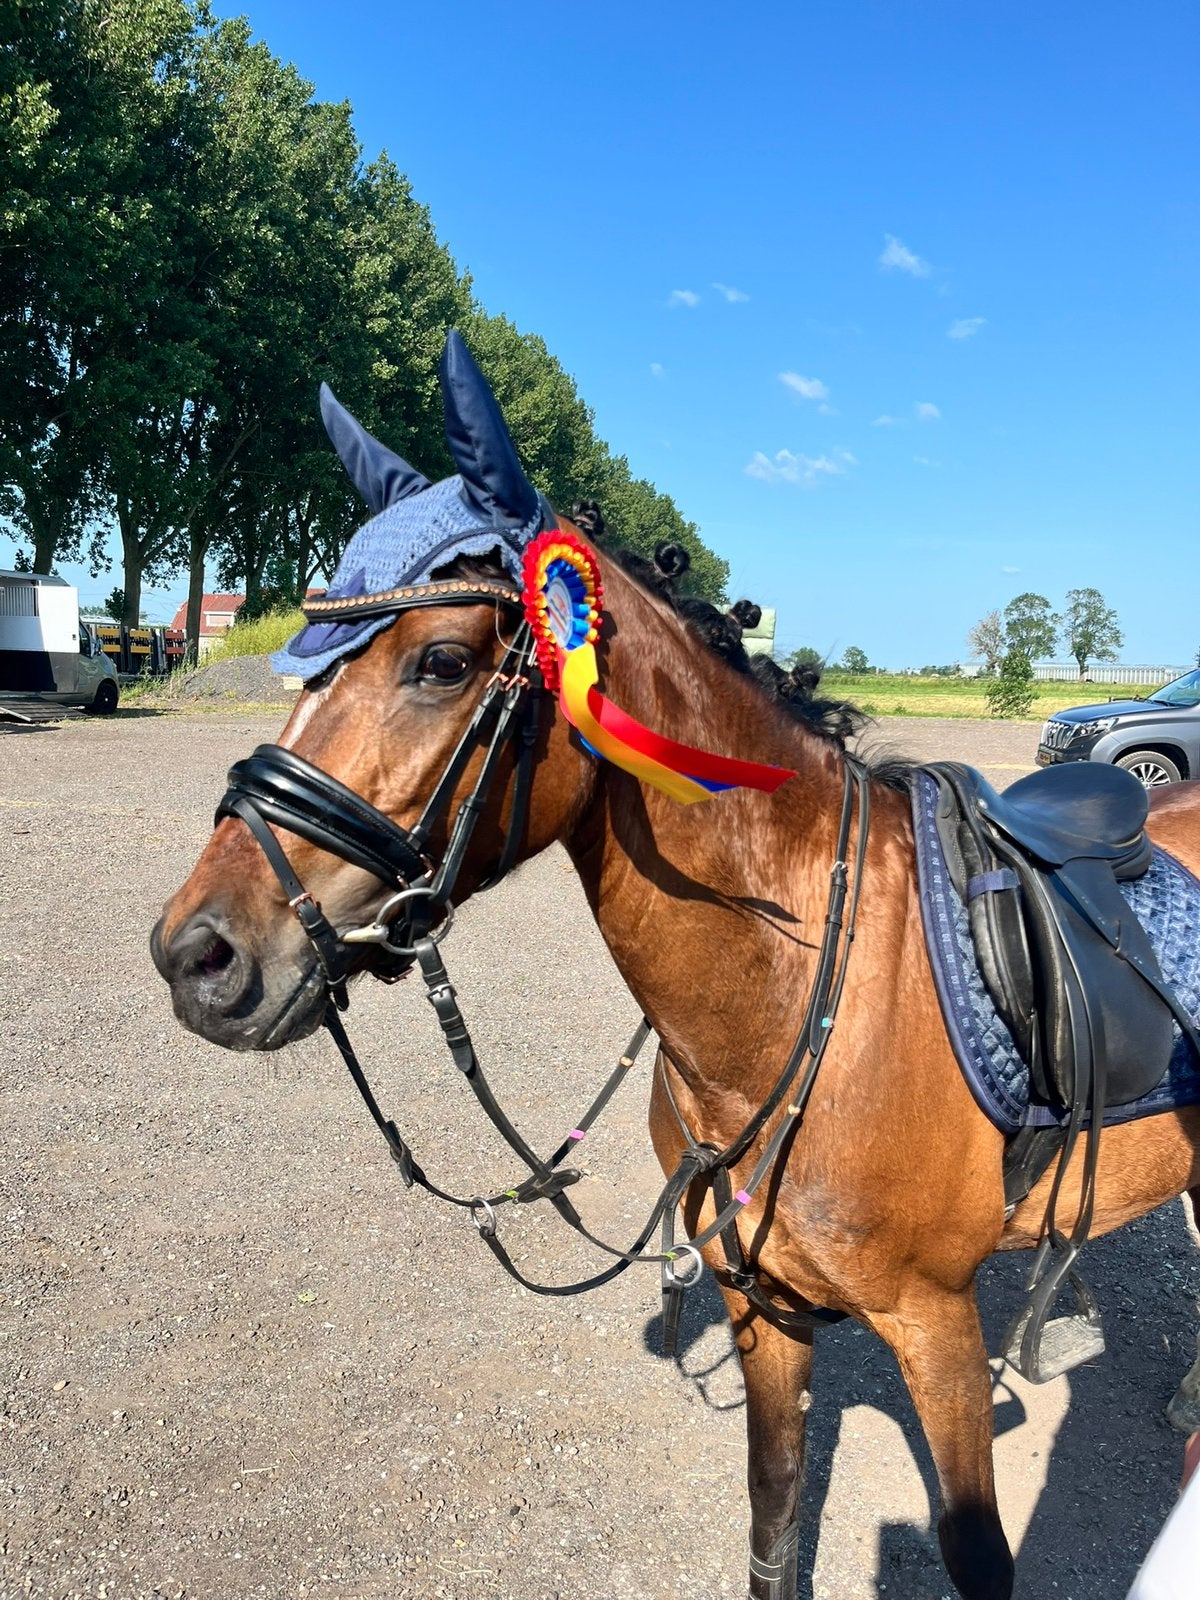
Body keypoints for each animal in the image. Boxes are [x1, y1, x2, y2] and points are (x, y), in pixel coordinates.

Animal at [152, 334, 1200, 1600]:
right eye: (307, 669)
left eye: (441, 661)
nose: (196, 953)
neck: (807, 1000)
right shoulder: (767, 1310)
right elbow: (773, 1519)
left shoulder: (939, 1328)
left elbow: (974, 1554)